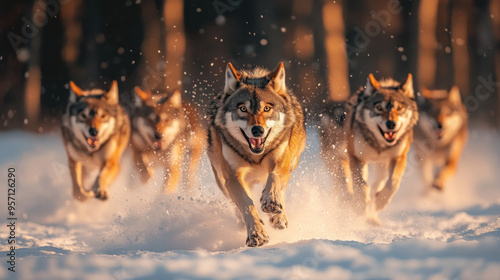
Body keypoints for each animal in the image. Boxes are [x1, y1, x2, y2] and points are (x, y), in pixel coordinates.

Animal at [206, 62, 304, 246]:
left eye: (266, 108)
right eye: (243, 109)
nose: (257, 130)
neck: (255, 156)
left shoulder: (281, 165)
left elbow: (274, 177)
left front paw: (271, 202)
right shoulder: (232, 178)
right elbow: (247, 204)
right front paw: (256, 234)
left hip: (290, 165)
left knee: (279, 189)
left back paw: (278, 216)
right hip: (222, 181)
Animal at [320, 74, 418, 223]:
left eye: (399, 108)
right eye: (379, 108)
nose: (391, 124)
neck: (379, 145)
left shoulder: (399, 157)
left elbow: (393, 183)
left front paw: (380, 202)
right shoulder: (357, 158)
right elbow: (360, 185)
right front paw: (360, 206)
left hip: (380, 168)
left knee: (376, 185)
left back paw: (372, 217)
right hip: (339, 159)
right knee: (344, 181)